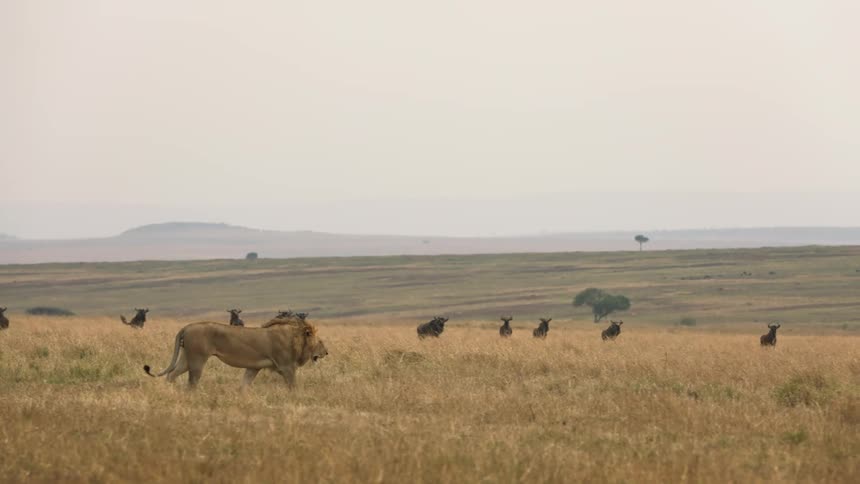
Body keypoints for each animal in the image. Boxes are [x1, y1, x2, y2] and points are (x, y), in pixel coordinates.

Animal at [143, 315, 328, 388]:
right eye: (320, 342)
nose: (327, 353)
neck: (296, 339)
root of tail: (186, 327)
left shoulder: (253, 367)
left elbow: (245, 384)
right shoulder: (287, 367)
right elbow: (293, 386)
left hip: (186, 359)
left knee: (172, 374)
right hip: (197, 359)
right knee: (191, 382)